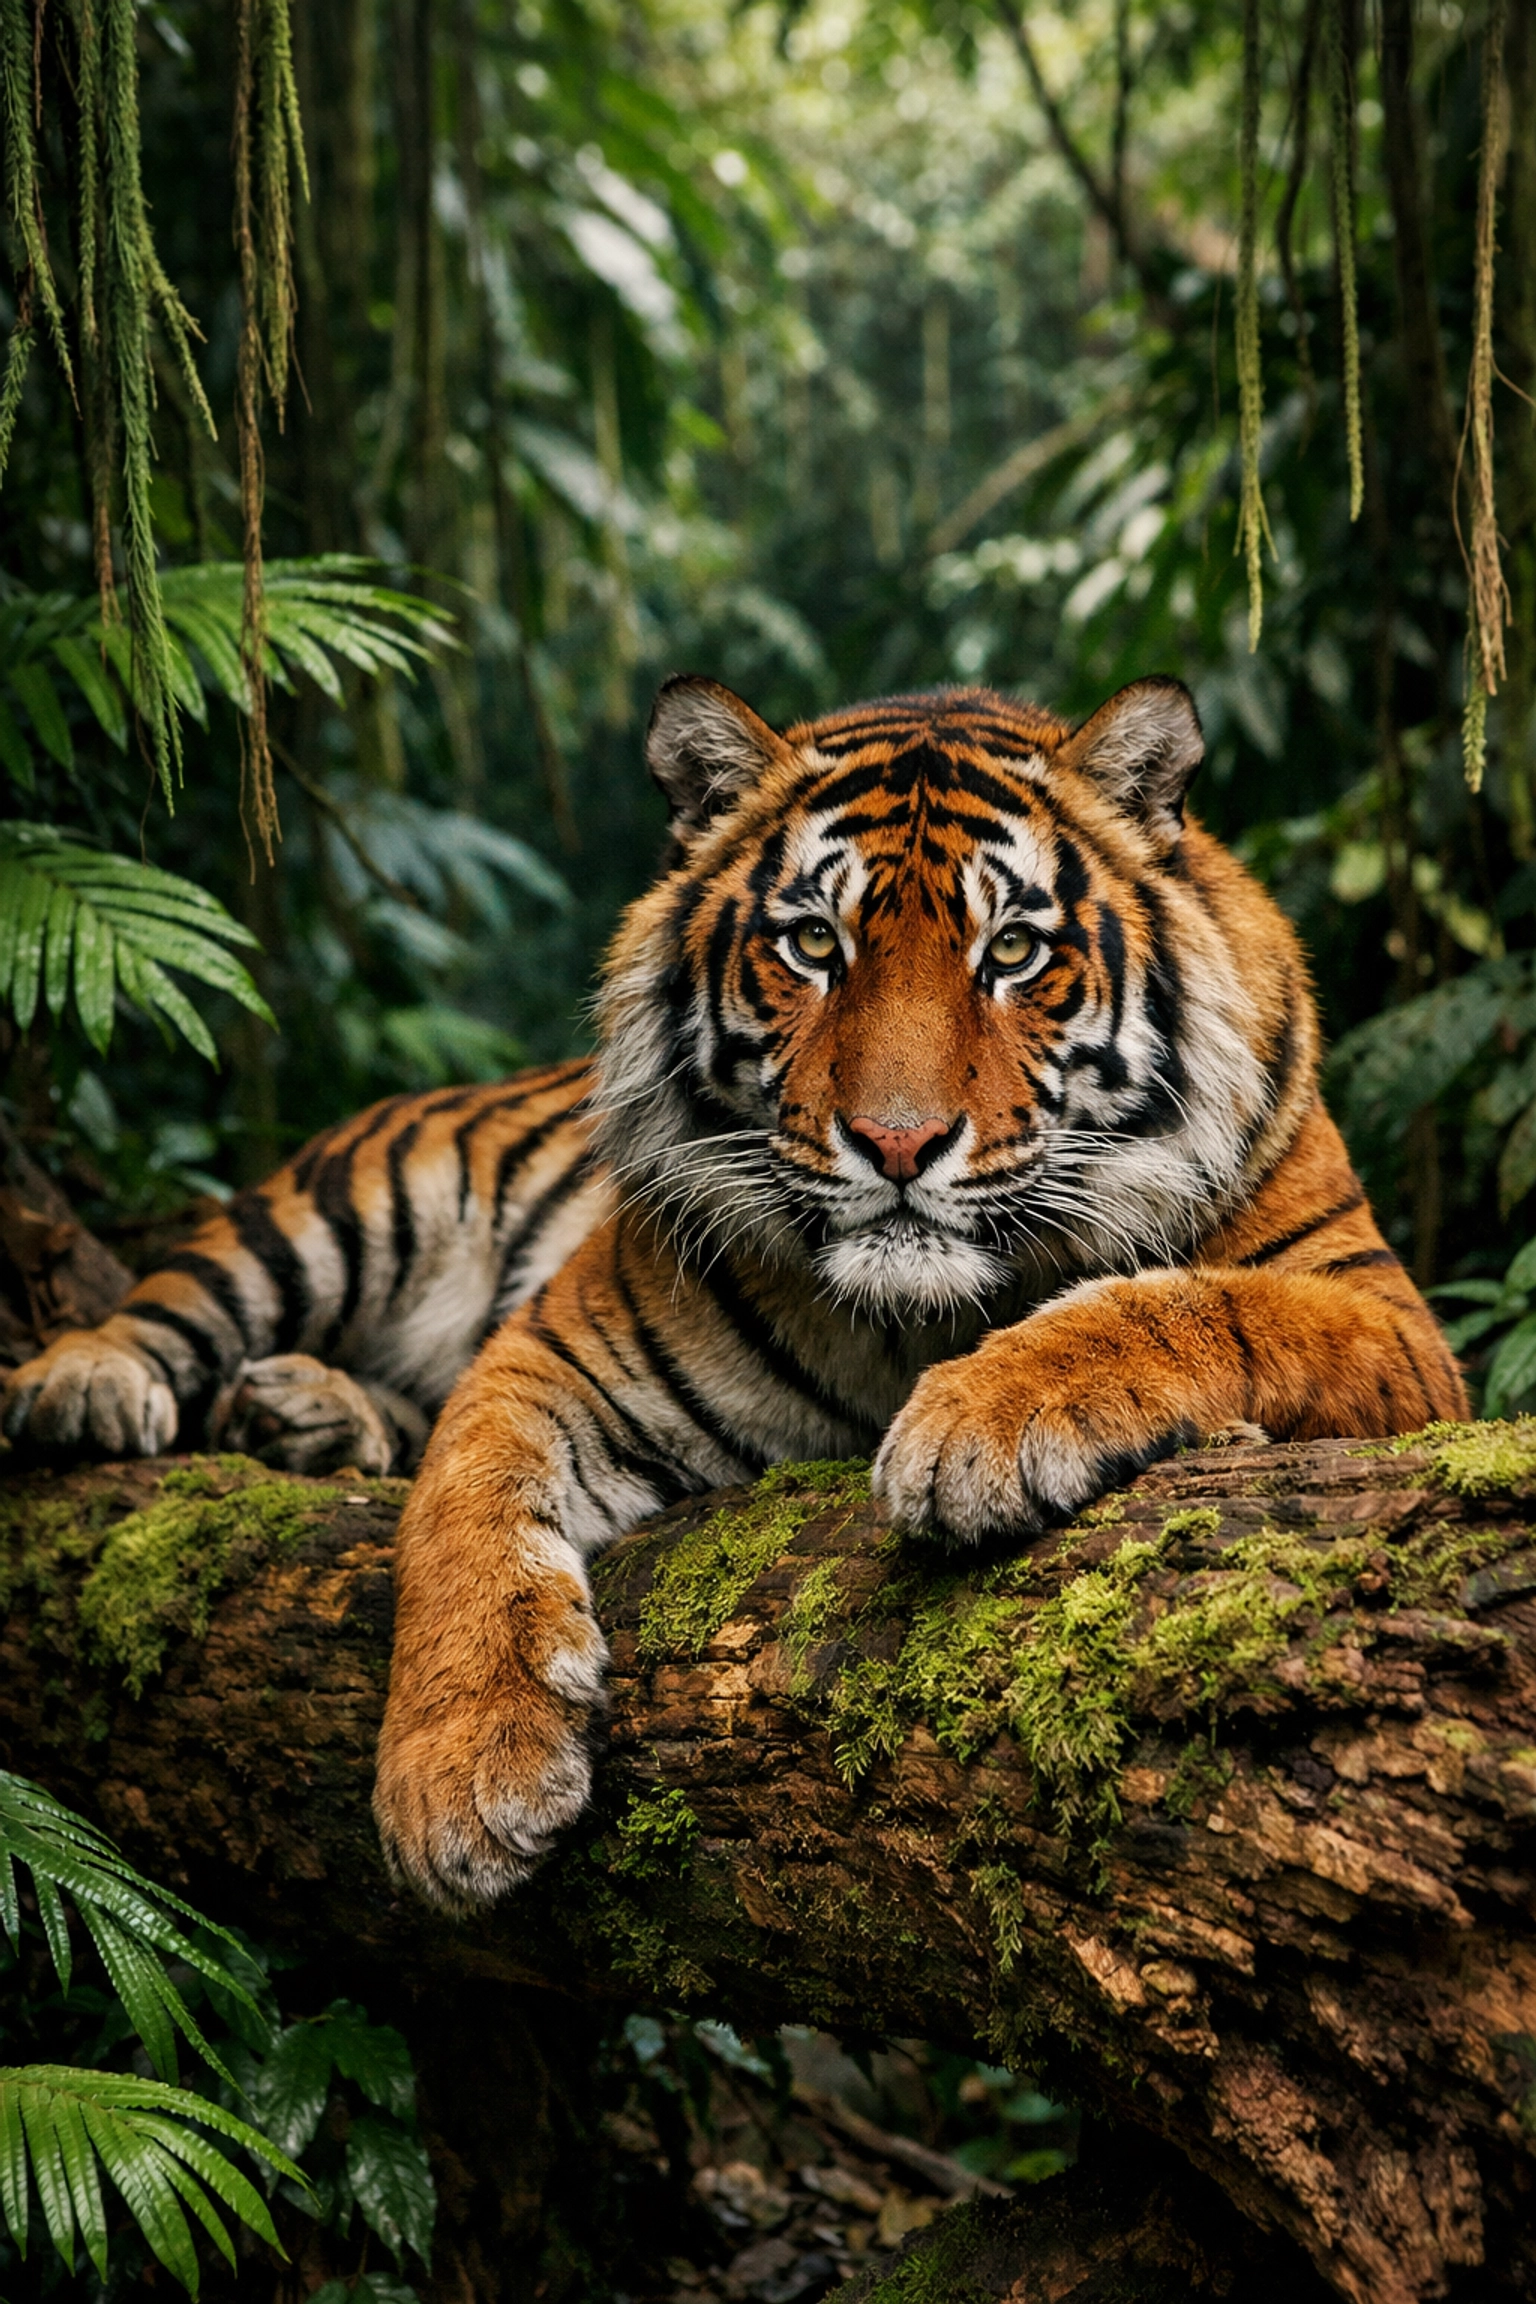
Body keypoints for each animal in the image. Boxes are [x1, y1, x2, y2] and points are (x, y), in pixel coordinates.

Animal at [2, 673, 1466, 1907]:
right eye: (814, 943)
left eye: (1011, 954)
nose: (895, 1143)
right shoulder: (556, 1353)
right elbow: (460, 1512)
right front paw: (458, 1781)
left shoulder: (1389, 1325)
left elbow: (1200, 1303)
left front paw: (976, 1423)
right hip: (340, 1204)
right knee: (183, 1294)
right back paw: (91, 1384)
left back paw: (302, 1414)